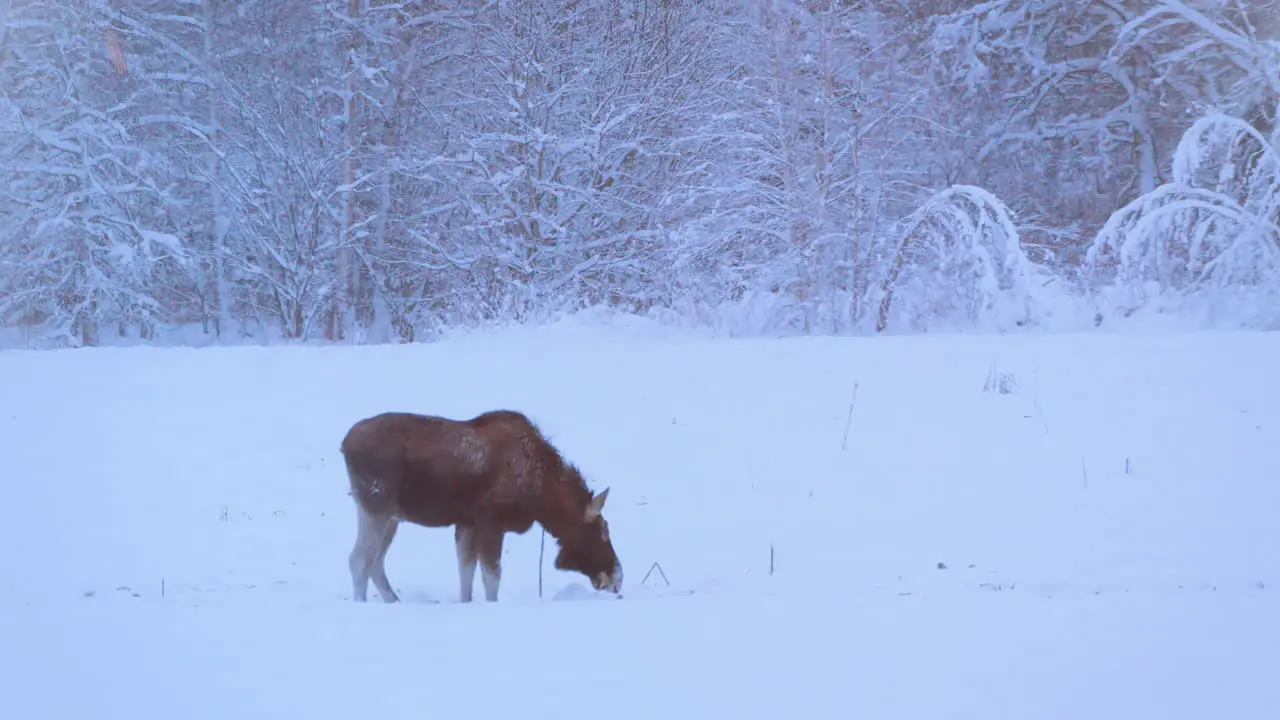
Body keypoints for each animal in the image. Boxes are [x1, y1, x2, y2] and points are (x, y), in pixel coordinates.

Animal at [337, 409, 622, 599]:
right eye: (603, 530)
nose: (618, 576)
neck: (541, 496)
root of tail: (344, 444)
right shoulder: (491, 522)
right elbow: (491, 577)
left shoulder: (467, 523)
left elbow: (466, 573)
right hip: (375, 507)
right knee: (359, 560)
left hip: (392, 516)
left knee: (375, 563)